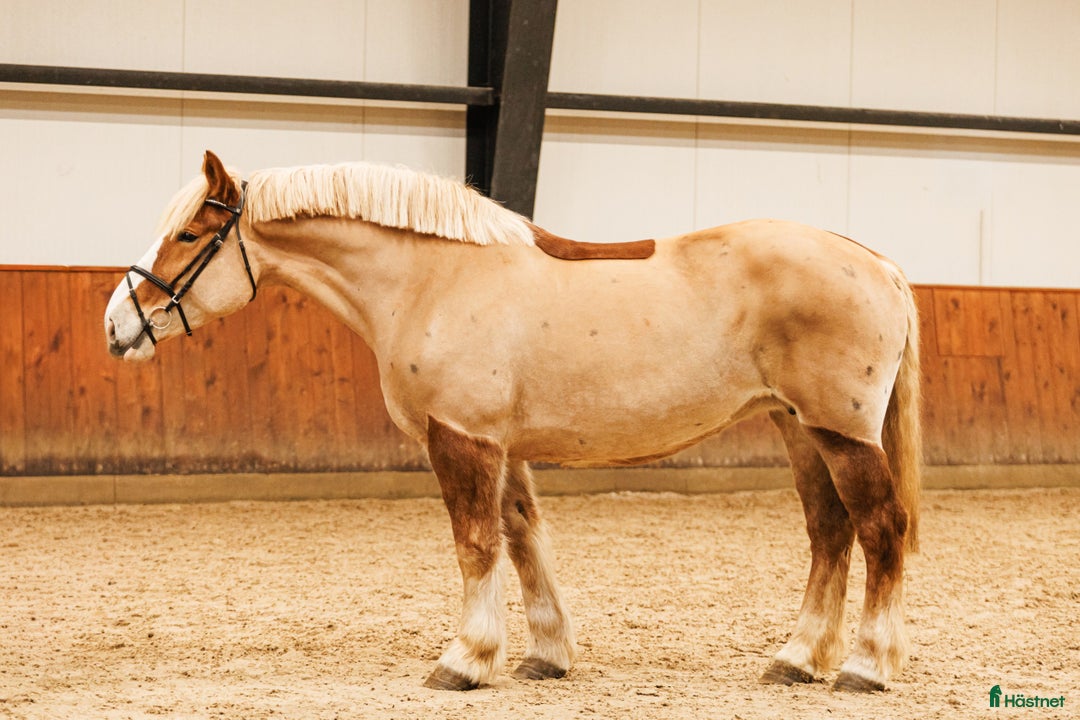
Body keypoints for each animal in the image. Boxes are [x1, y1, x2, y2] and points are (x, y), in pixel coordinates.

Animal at [105, 150, 922, 693]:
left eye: (187, 236)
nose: (116, 324)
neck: (432, 278)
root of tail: (878, 264)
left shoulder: (461, 437)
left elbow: (475, 545)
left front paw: (464, 658)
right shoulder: (502, 445)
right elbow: (524, 538)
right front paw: (545, 654)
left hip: (840, 433)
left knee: (879, 529)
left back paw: (864, 666)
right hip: (798, 428)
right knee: (830, 533)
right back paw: (796, 659)